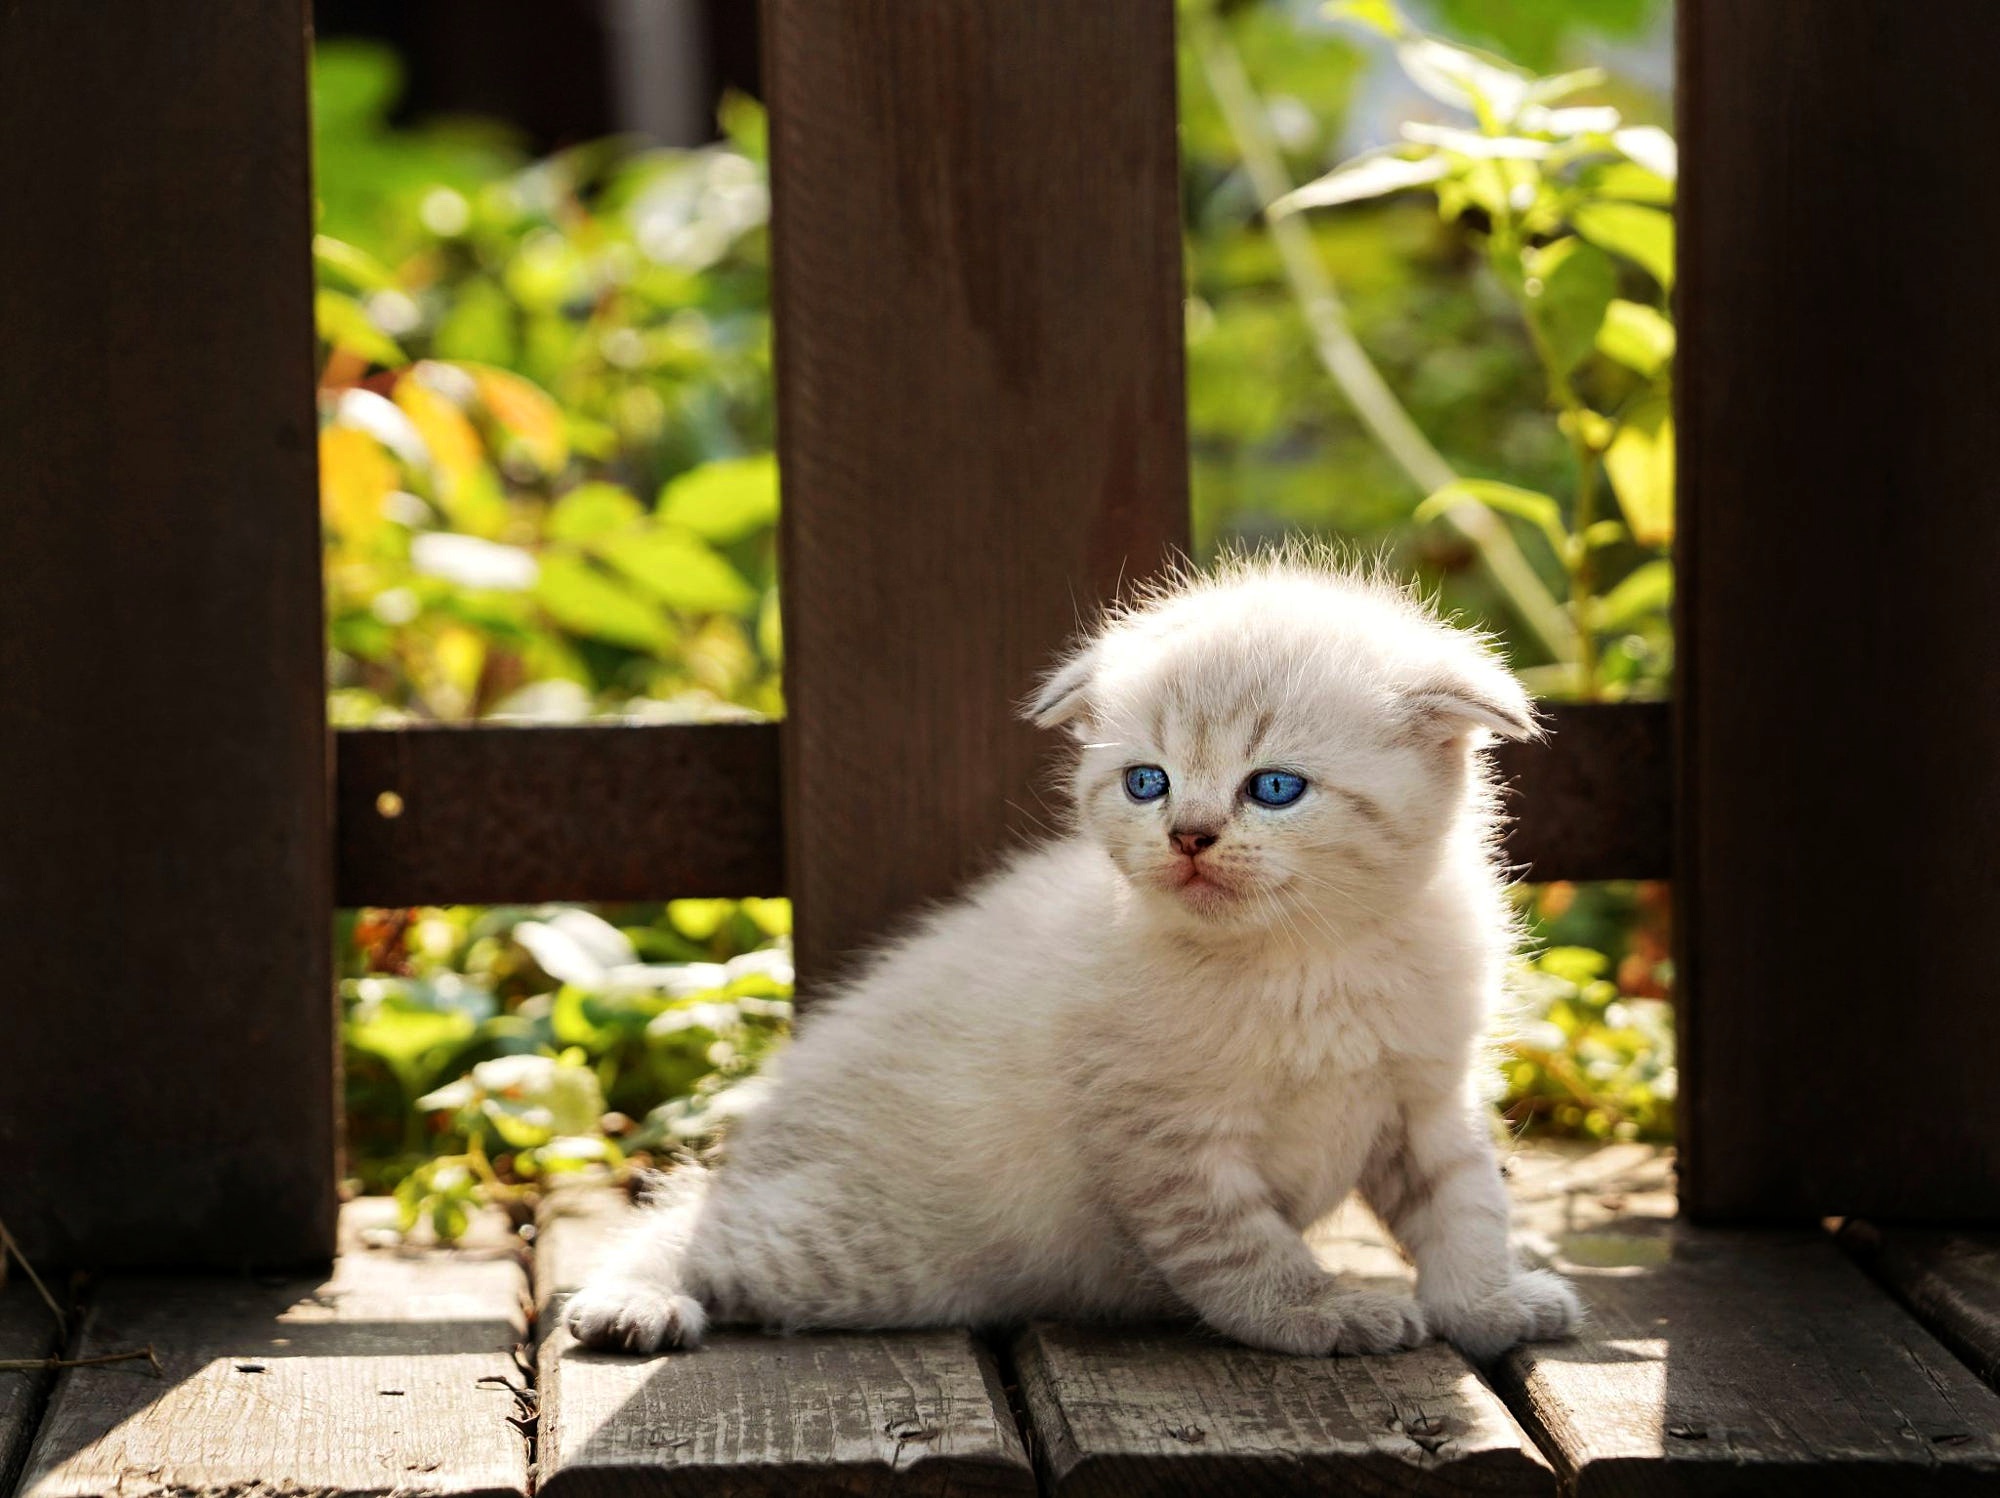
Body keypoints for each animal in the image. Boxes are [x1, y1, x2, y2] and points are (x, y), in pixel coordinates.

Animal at [564, 556, 1576, 1360]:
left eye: (1275, 788)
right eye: (1148, 782)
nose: (1189, 836)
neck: (1310, 959)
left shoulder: (1427, 1100)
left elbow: (1468, 1211)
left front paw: (1492, 1308)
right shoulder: (1166, 1140)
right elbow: (1247, 1254)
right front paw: (1324, 1315)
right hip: (861, 1254)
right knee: (694, 1222)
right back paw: (628, 1304)